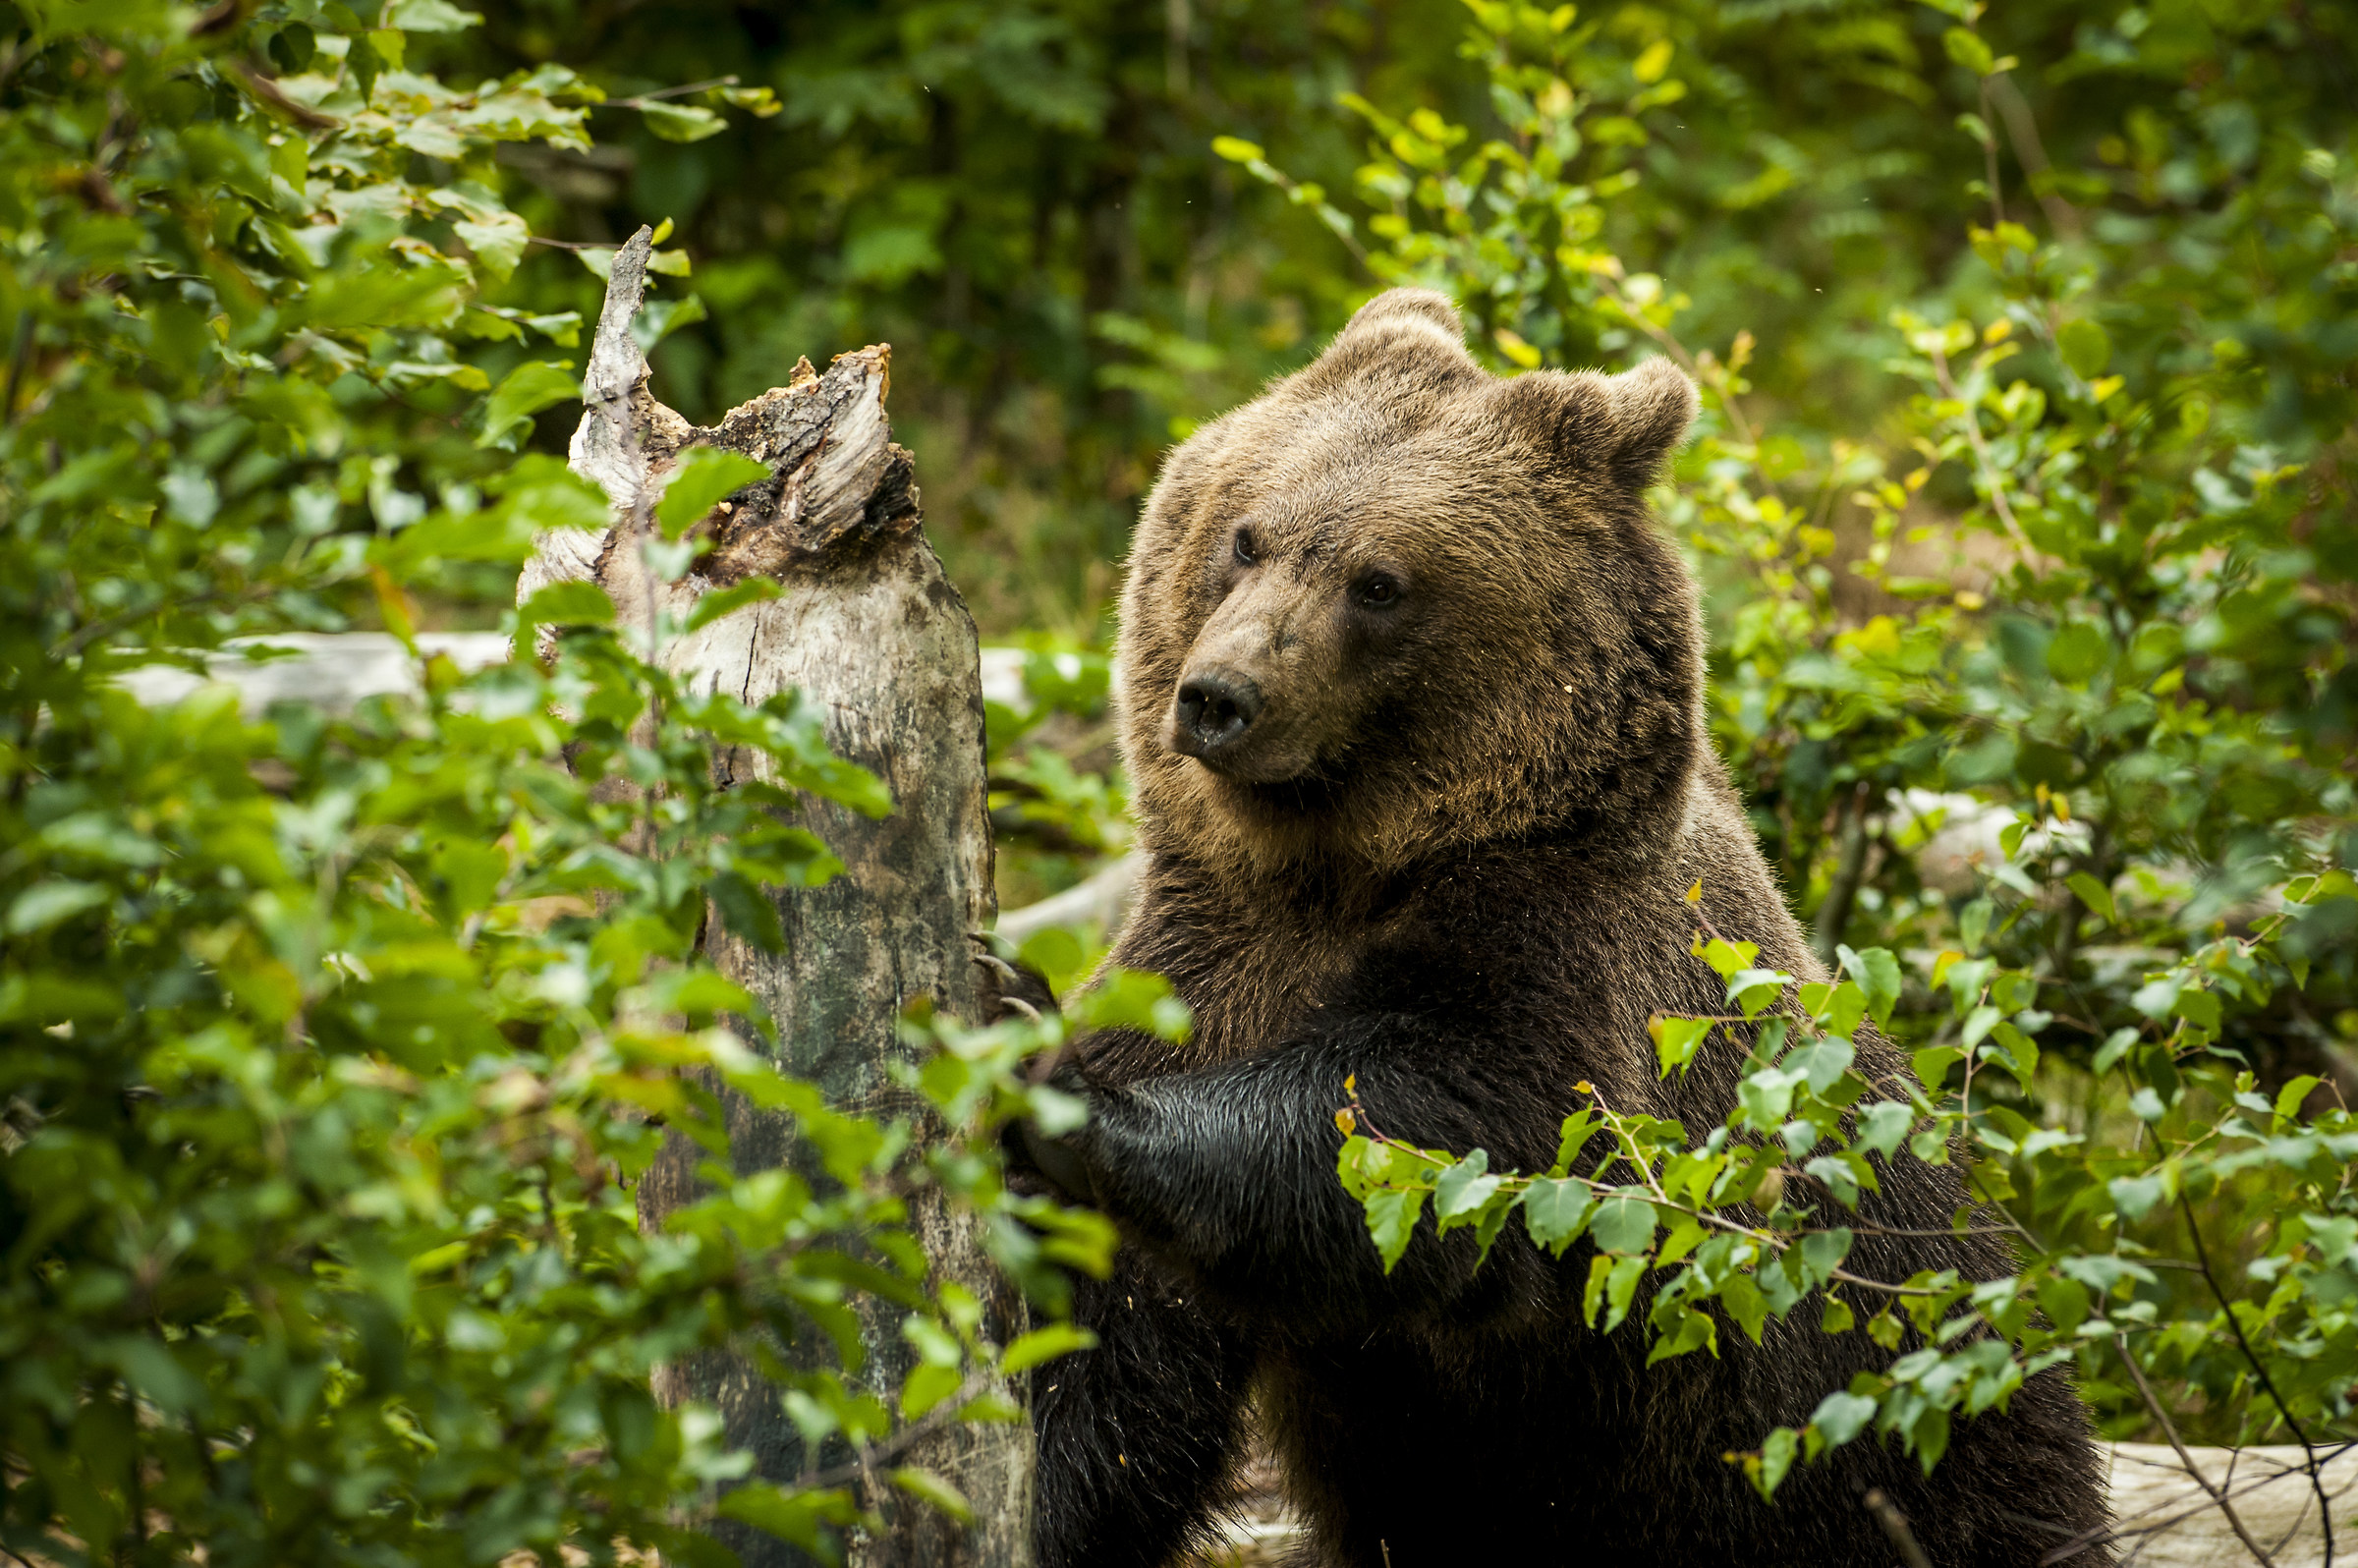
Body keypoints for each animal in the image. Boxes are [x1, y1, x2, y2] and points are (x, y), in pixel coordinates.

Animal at [1016, 287, 2110, 1568]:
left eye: (1379, 582)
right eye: (1246, 533)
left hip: (1911, 1390)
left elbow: (1435, 1140)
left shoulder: (1574, 966)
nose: (1219, 697)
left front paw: (1074, 1094)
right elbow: (1108, 1355)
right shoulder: (1210, 954)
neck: (1336, 877)